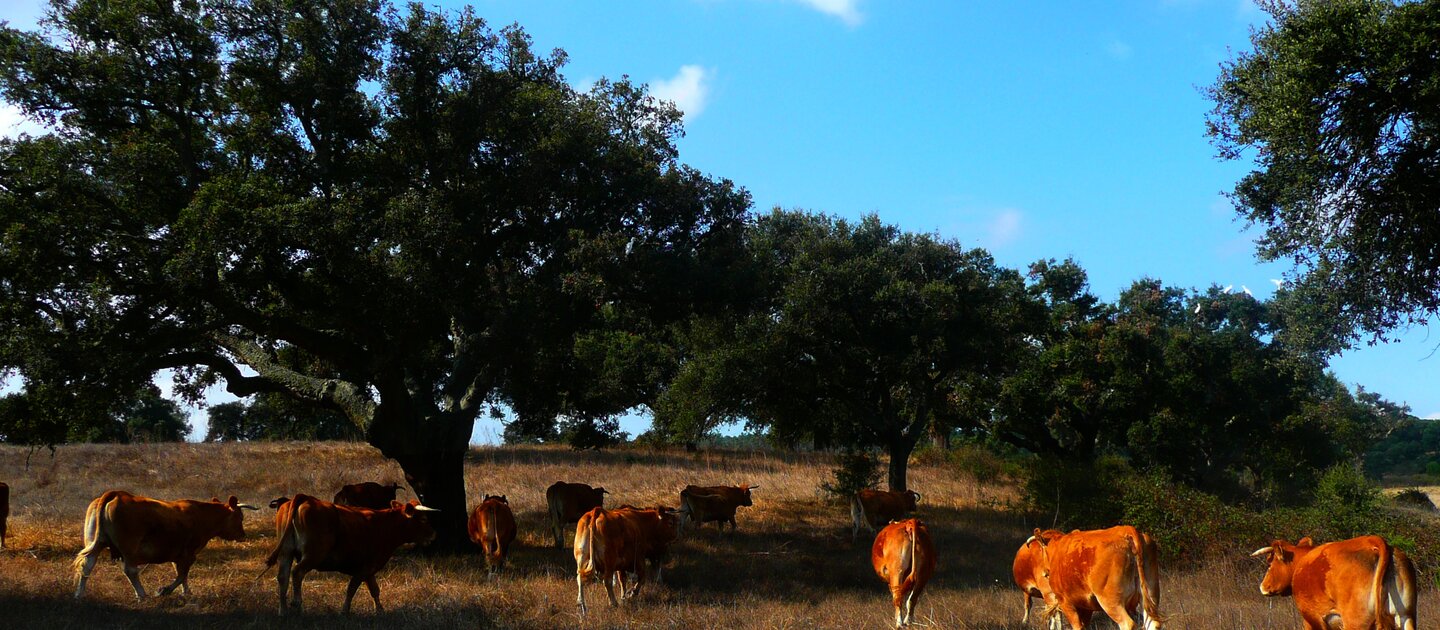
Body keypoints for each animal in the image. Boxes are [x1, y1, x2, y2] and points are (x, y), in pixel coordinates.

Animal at [70, 489, 259, 598]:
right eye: (240, 517)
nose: (243, 535)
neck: (202, 515)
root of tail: (117, 495)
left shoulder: (179, 555)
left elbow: (181, 574)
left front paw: (186, 593)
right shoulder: (189, 553)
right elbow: (182, 575)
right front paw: (164, 590)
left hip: (96, 543)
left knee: (87, 566)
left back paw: (79, 594)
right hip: (129, 549)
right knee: (130, 570)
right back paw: (142, 594)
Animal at [270, 491, 434, 615]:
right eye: (423, 519)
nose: (434, 535)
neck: (384, 524)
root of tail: (306, 498)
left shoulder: (369, 569)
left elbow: (374, 590)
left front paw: (380, 610)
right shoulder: (365, 568)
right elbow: (352, 589)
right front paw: (345, 611)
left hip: (286, 553)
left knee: (283, 577)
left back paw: (283, 611)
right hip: (313, 555)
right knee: (297, 572)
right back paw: (297, 603)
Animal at [1031, 523, 1163, 630]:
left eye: (1041, 551)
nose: (1044, 572)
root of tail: (1126, 530)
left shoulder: (1065, 602)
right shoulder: (1086, 608)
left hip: (1111, 602)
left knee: (1127, 624)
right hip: (1150, 596)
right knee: (1153, 623)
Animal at [1249, 535, 1416, 630]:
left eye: (1270, 563)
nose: (1263, 586)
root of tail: (1374, 542)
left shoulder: (1312, 619)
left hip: (1356, 623)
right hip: (1406, 616)